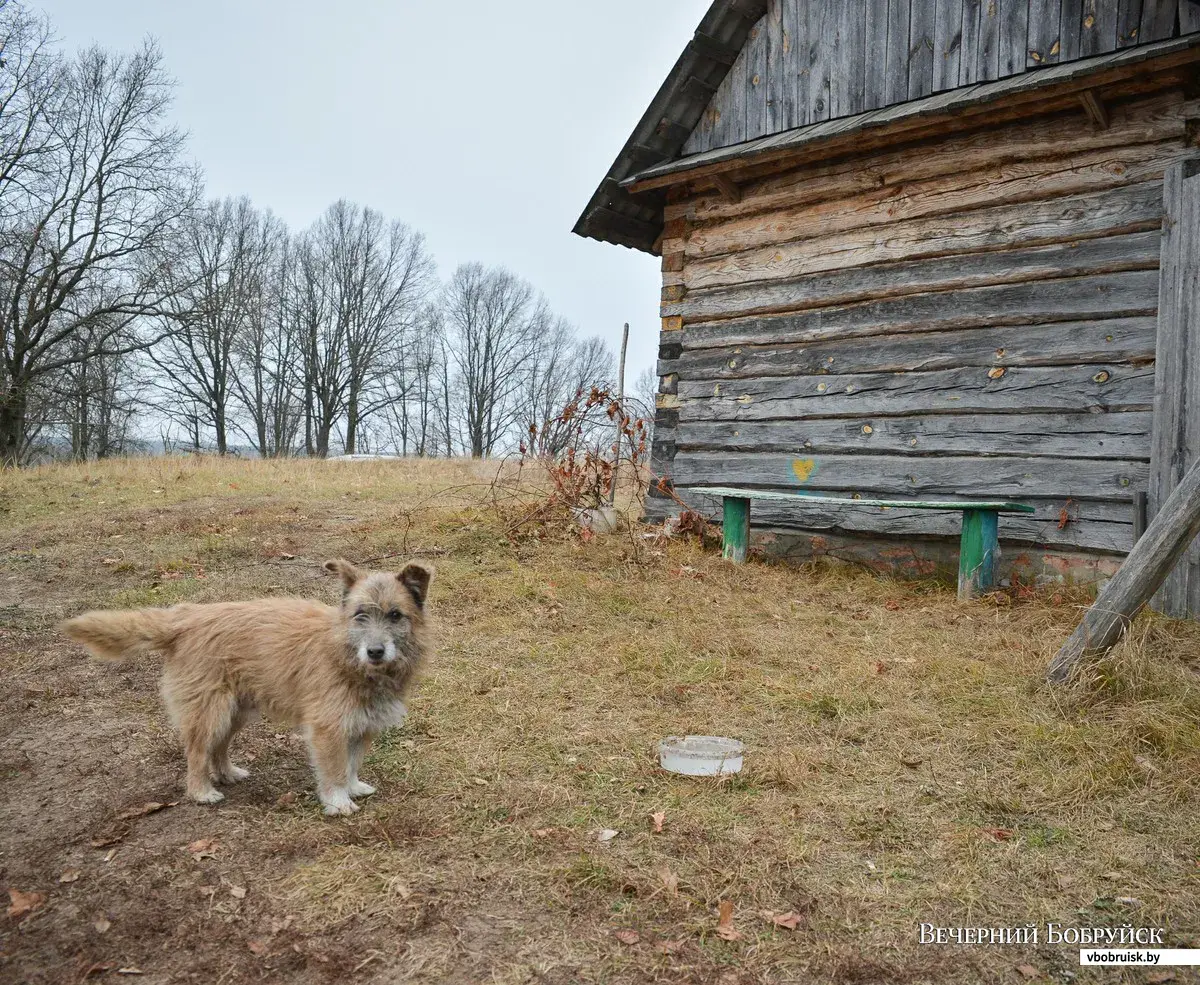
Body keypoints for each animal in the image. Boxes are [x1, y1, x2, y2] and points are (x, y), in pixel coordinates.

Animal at [59, 556, 436, 811]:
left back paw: (227, 773)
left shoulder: (361, 725)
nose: (375, 651)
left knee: (219, 748)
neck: (347, 654)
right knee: (197, 753)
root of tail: (184, 618)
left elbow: (351, 763)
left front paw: (354, 786)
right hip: (209, 711)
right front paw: (338, 801)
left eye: (395, 615)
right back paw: (201, 791)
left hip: (234, 711)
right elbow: (333, 769)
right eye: (360, 615)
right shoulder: (327, 728)